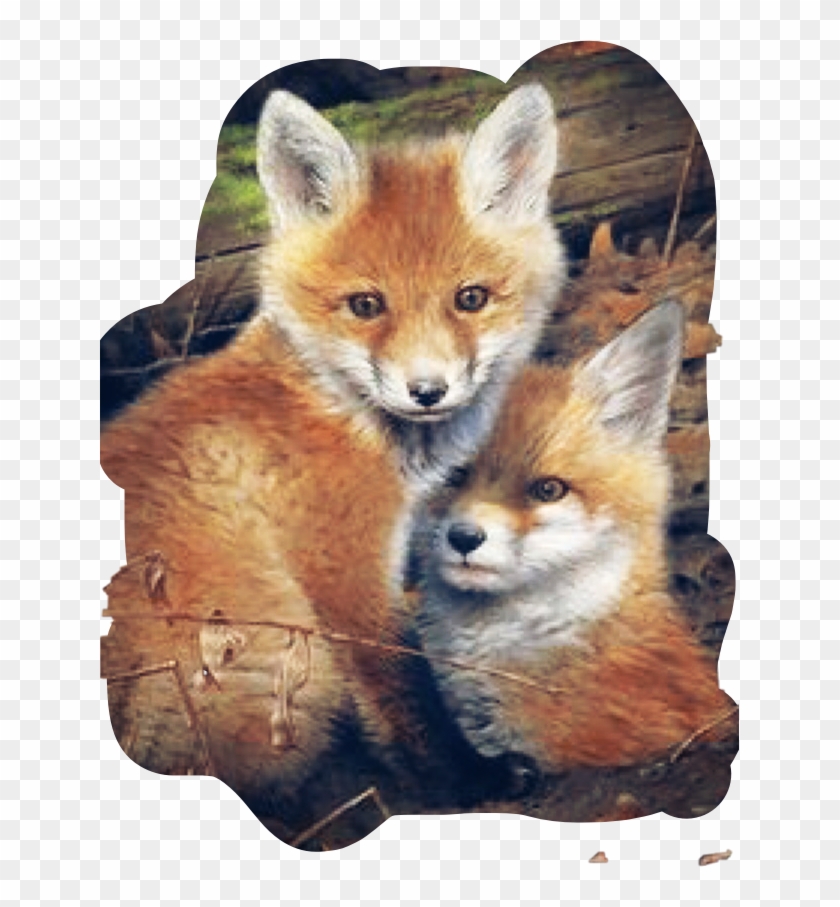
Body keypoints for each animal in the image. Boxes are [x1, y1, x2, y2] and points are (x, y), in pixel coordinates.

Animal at [100, 83, 566, 829]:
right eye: (366, 305)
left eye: (470, 299)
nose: (427, 390)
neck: (332, 404)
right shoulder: (344, 576)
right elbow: (409, 687)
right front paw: (469, 780)